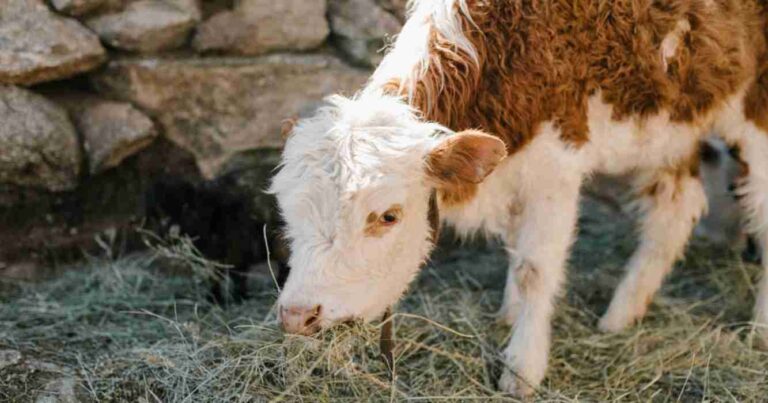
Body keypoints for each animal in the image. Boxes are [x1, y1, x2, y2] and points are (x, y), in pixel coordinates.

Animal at [270, 0, 768, 398]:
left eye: (388, 216)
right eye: (288, 215)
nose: (297, 315)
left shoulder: (556, 165)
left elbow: (535, 269)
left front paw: (522, 369)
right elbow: (515, 247)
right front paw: (508, 316)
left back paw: (759, 330)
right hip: (672, 121)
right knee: (677, 207)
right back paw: (620, 315)